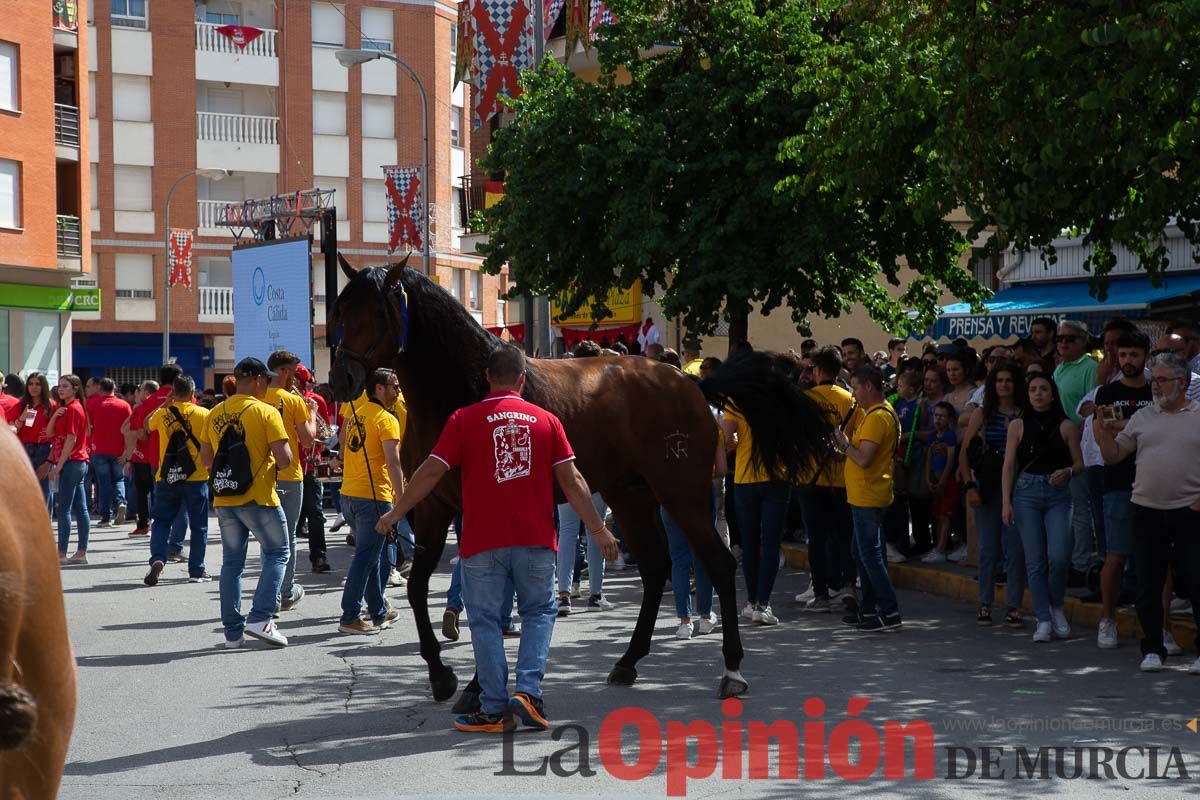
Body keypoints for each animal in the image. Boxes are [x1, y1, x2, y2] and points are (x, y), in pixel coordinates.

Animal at [328, 260, 835, 705]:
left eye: (376, 313)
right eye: (340, 311)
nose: (341, 379)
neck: (466, 387)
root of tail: (691, 385)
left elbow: (485, 596)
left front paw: (474, 683)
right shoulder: (433, 504)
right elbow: (419, 588)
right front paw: (441, 676)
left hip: (683, 495)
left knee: (720, 564)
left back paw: (731, 671)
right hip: (630, 496)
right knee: (657, 568)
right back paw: (628, 662)